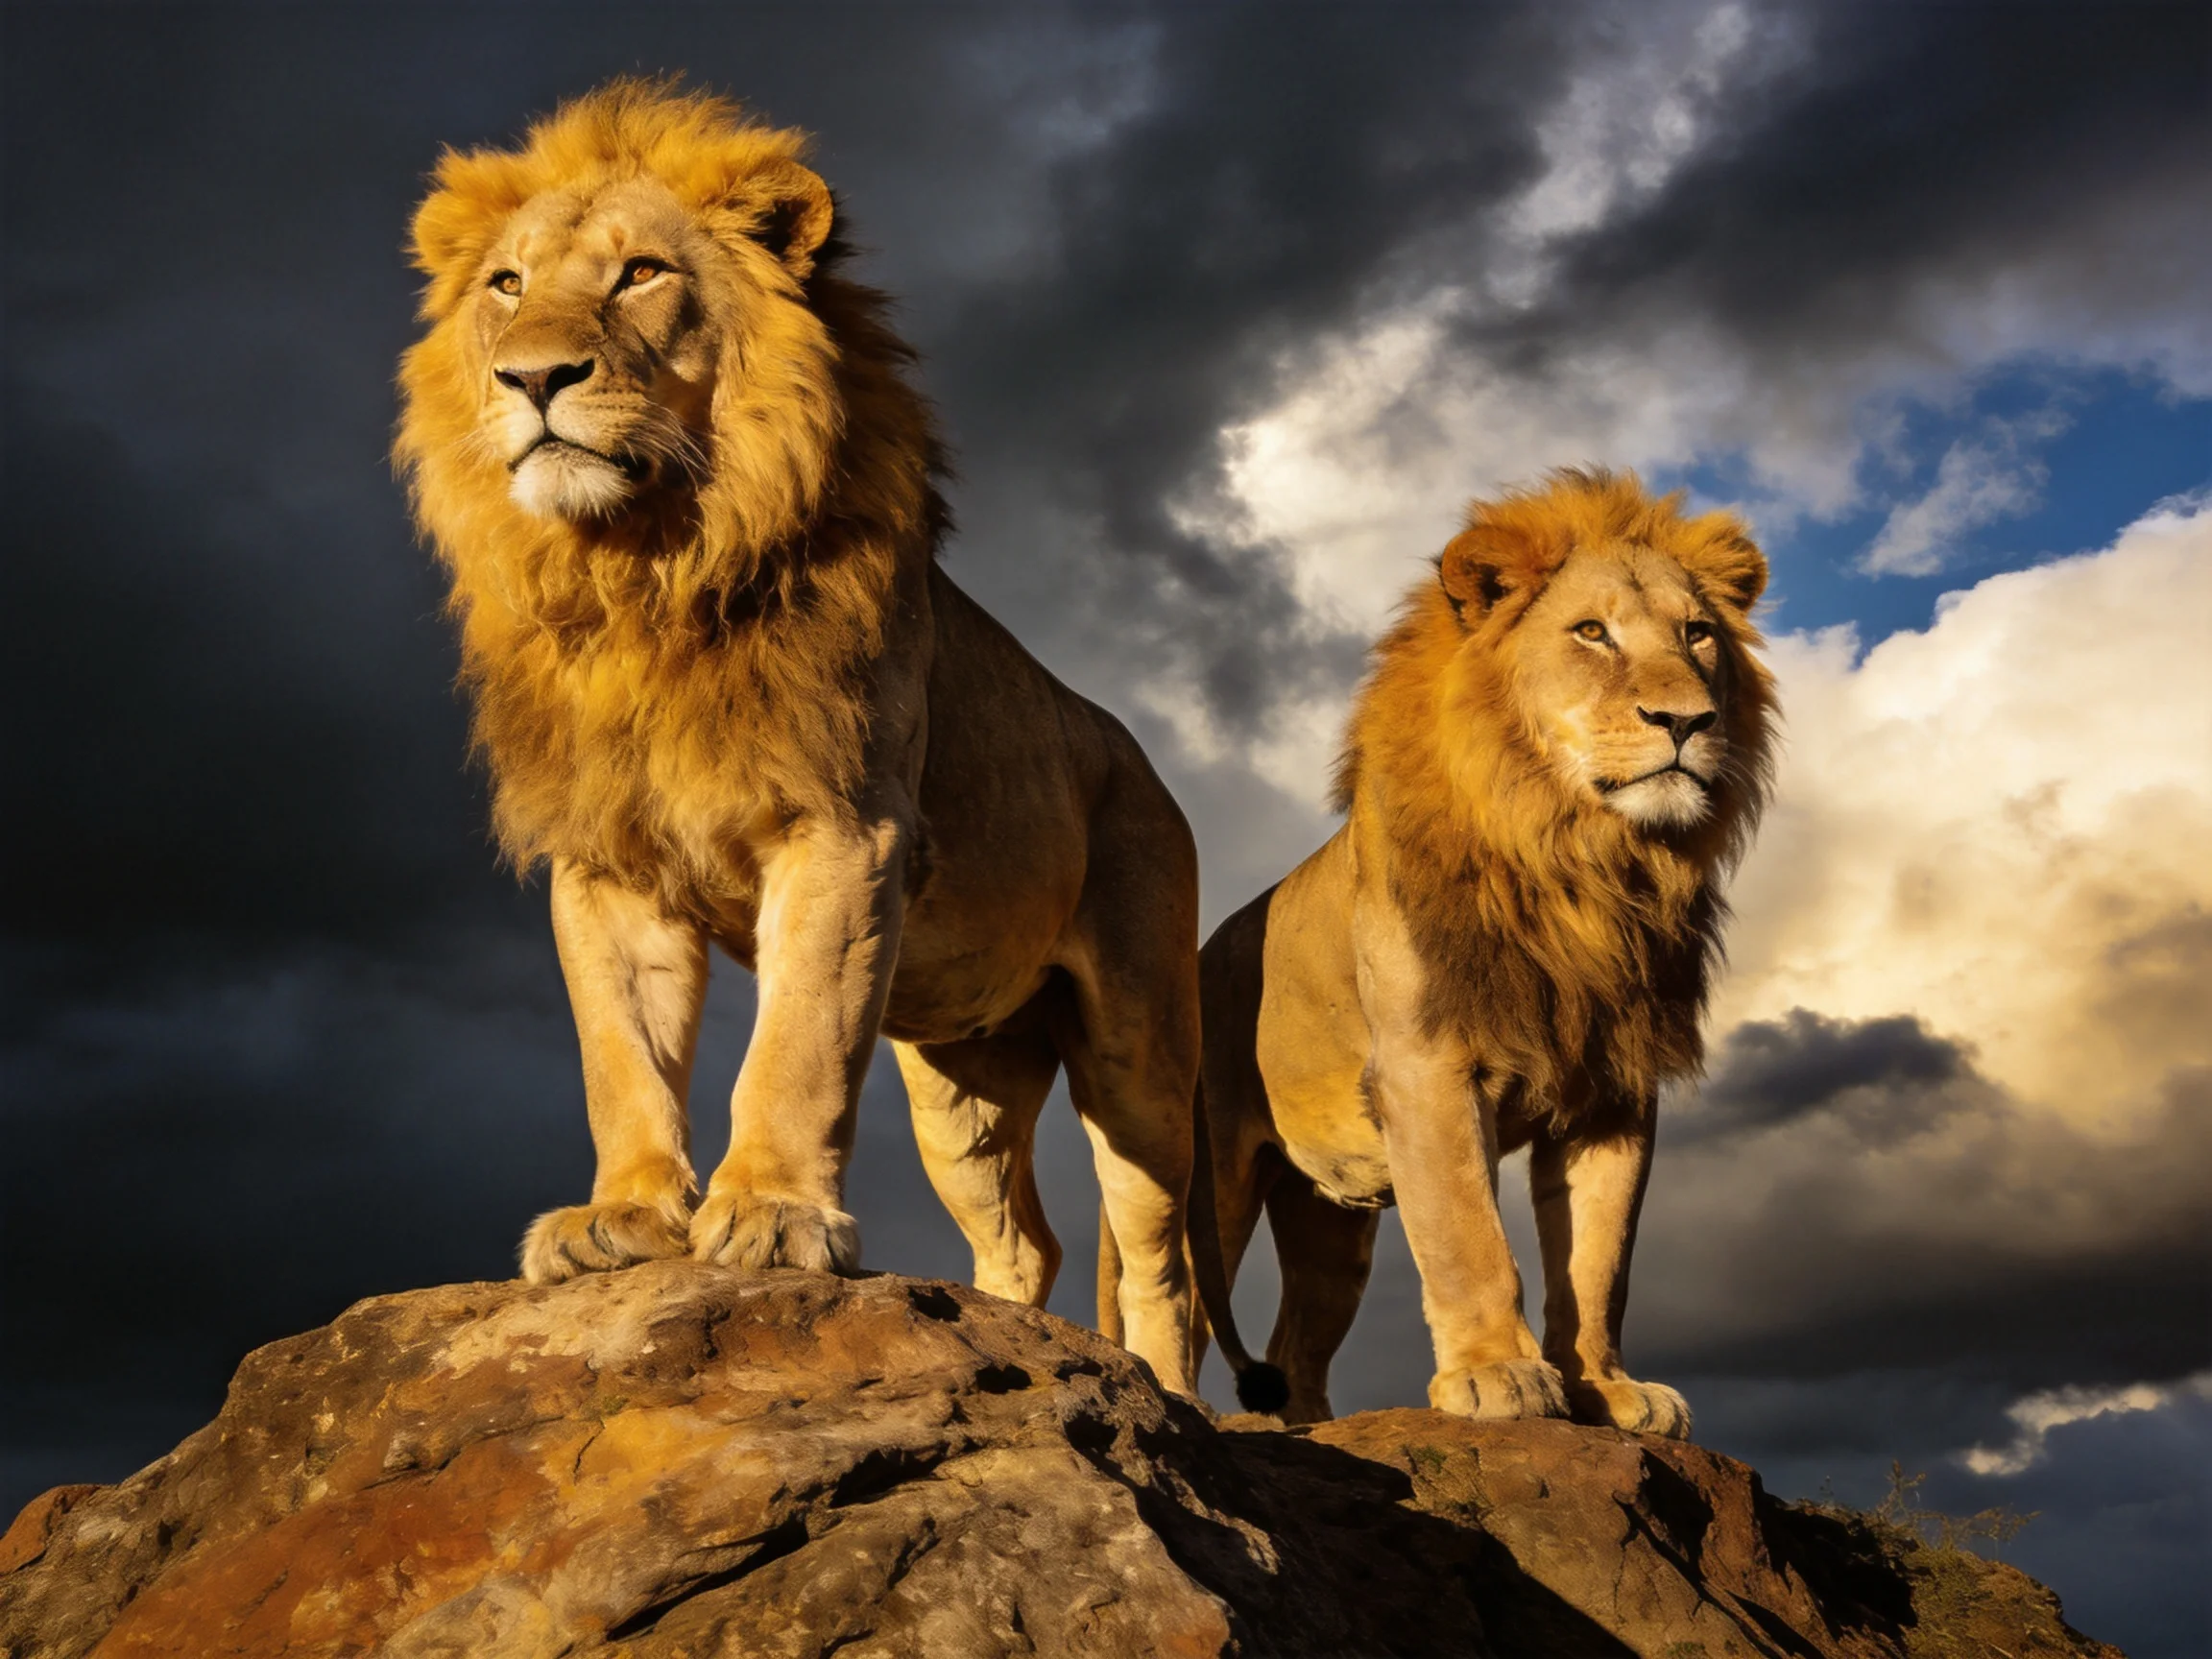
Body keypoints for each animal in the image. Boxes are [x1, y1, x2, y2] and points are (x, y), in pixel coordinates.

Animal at [393, 81, 1202, 1395]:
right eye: (507, 285)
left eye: (641, 274)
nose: (533, 376)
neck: (647, 575)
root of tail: (1136, 756)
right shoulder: (607, 868)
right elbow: (619, 1057)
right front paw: (621, 1218)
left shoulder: (844, 826)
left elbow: (797, 1045)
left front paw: (772, 1214)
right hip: (963, 1082)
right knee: (1023, 1239)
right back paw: (1022, 1350)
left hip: (1141, 1052)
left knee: (1157, 1258)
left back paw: (1167, 1395)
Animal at [1126, 469, 1776, 1432]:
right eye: (1592, 632)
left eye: (1697, 634)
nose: (1687, 720)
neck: (1580, 861)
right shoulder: (1428, 1067)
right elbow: (1471, 1237)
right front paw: (1497, 1375)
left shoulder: (1616, 1094)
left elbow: (1599, 1263)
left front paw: (1610, 1391)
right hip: (1204, 1173)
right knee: (1163, 1290)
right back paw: (1169, 1399)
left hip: (1329, 1220)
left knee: (1296, 1343)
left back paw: (1309, 1426)